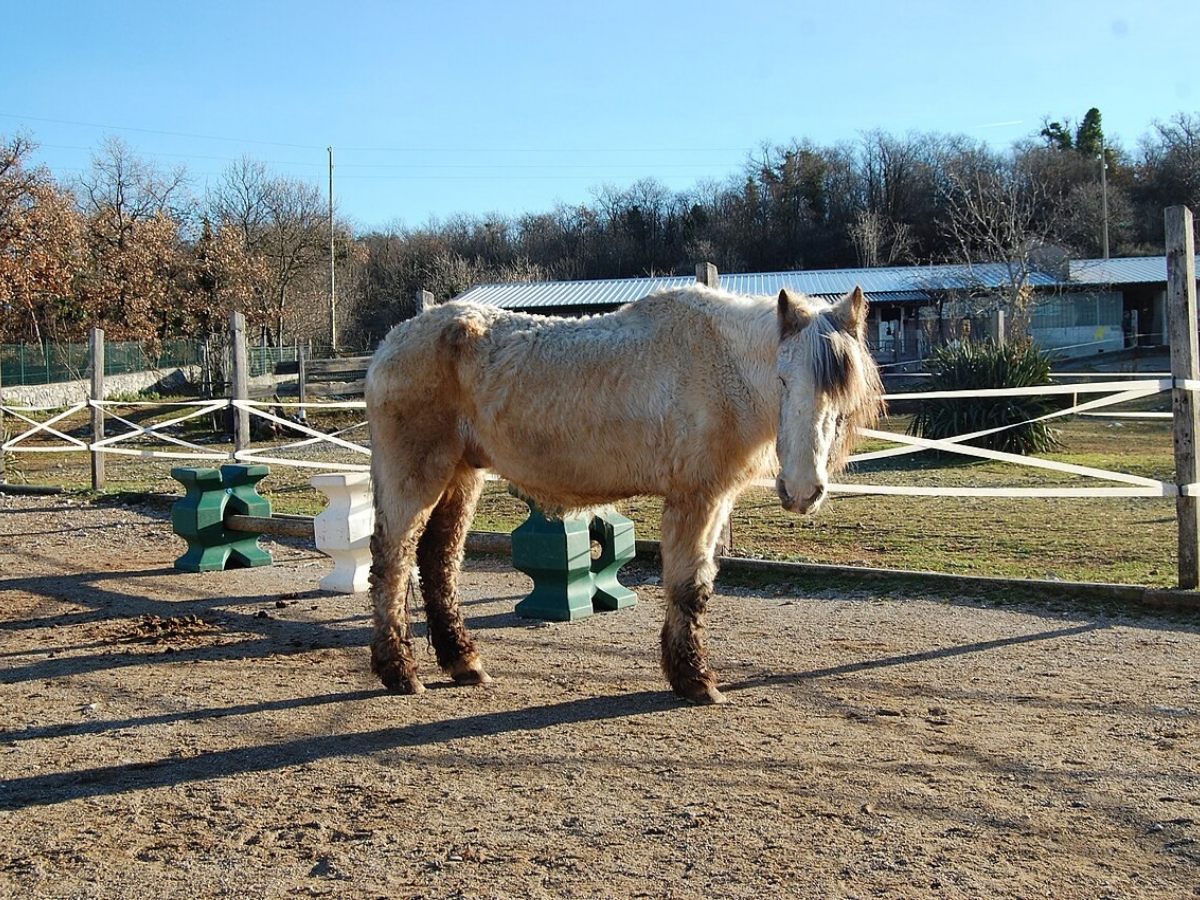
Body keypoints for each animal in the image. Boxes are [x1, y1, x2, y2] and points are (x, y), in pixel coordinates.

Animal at [364, 283, 884, 704]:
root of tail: (389, 344)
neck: (721, 363)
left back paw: (463, 662)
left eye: (841, 397)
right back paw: (400, 673)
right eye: (782, 380)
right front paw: (695, 681)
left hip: (461, 478)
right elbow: (688, 586)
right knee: (394, 560)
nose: (802, 491)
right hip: (416, 478)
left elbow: (698, 586)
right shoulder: (696, 499)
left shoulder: (715, 501)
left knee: (439, 560)